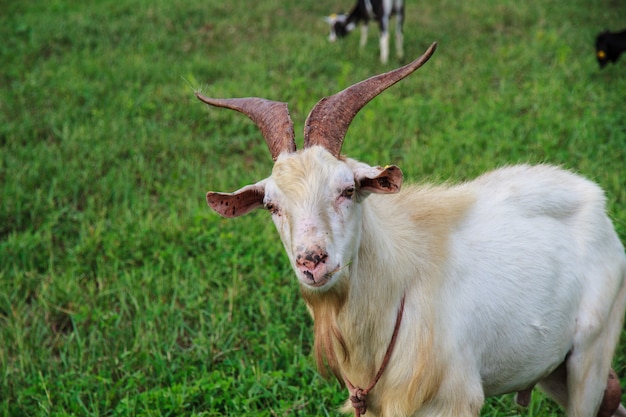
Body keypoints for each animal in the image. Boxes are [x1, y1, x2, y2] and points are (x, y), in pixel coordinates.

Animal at [196, 43, 624, 416]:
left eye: (348, 190)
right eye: (272, 205)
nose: (312, 262)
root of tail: (597, 201)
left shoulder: (453, 401)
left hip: (590, 353)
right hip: (553, 367)